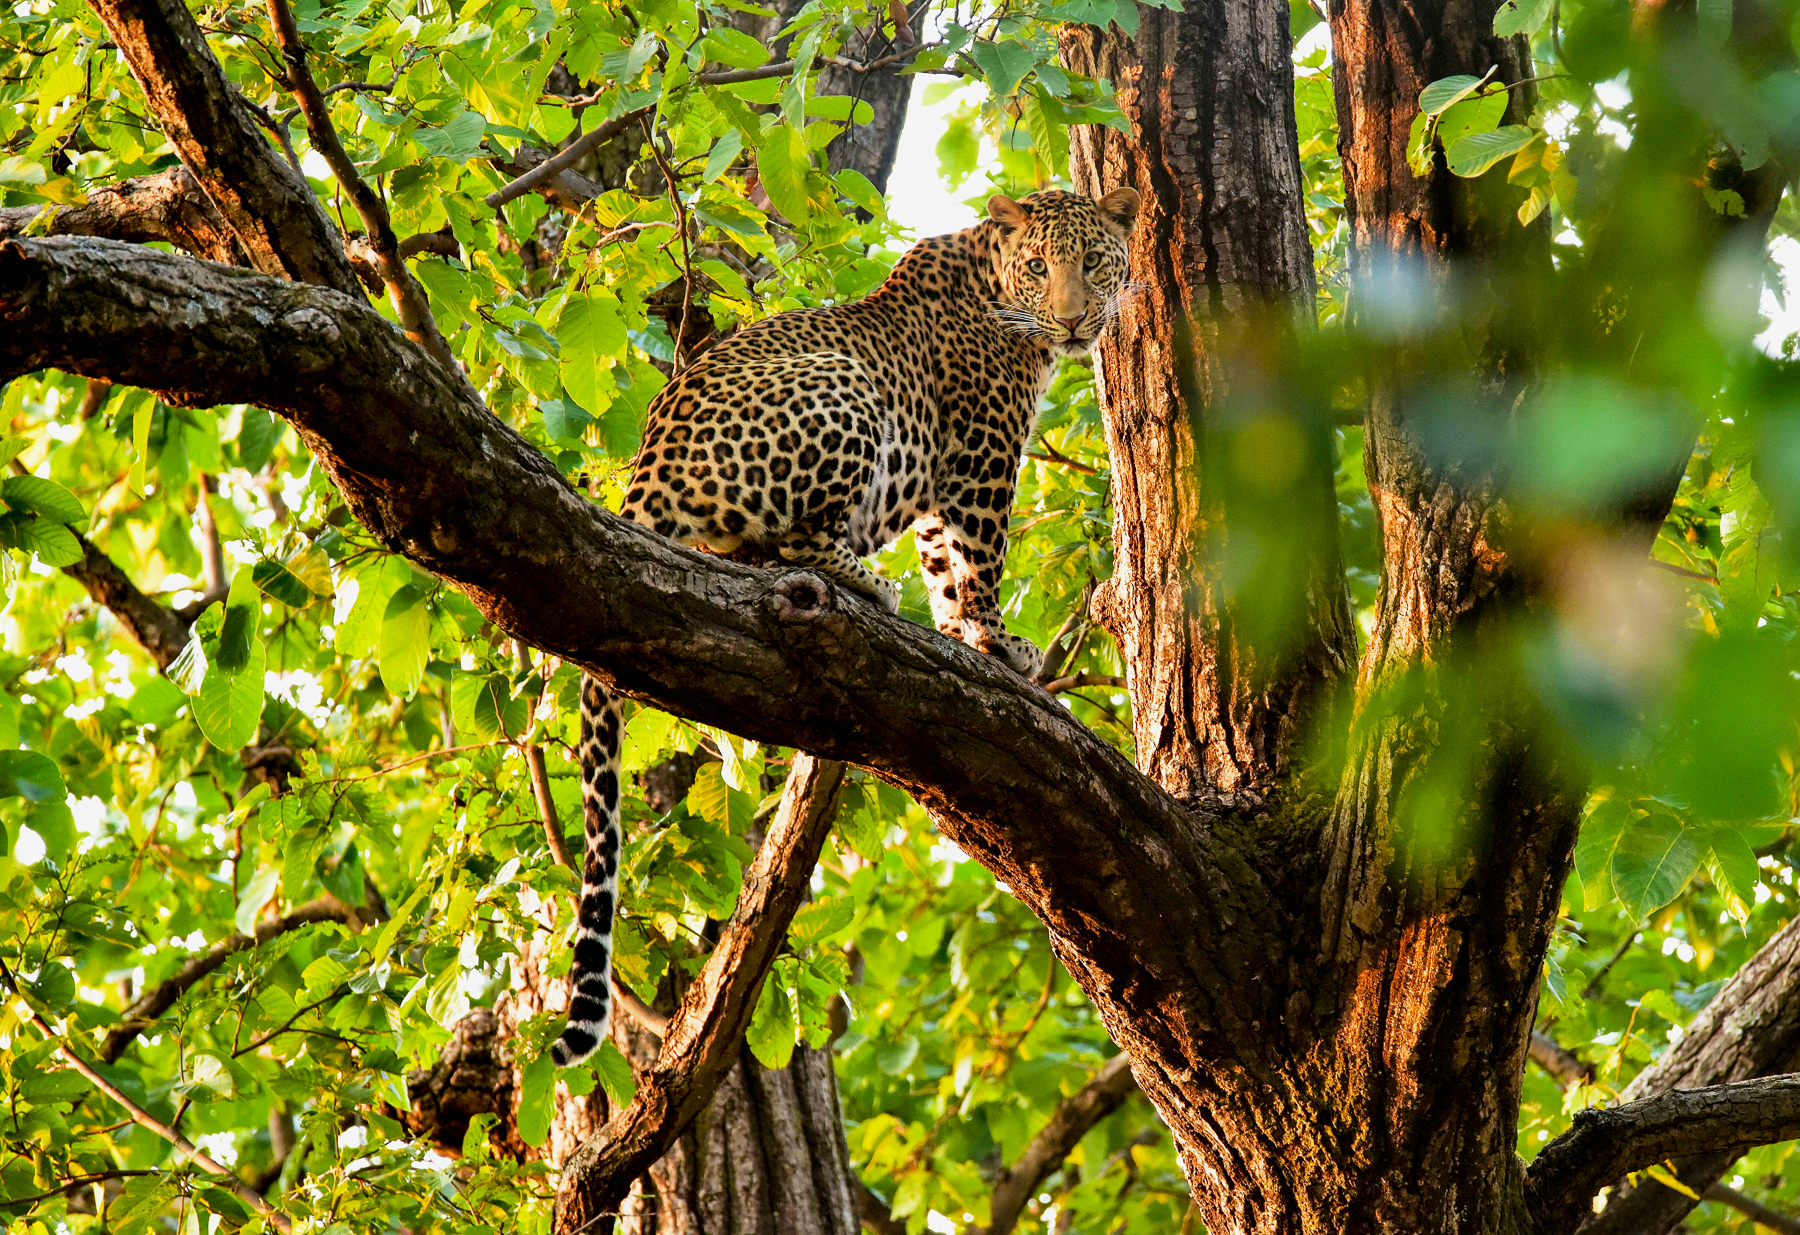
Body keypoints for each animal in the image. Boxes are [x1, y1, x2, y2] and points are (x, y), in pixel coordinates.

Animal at [552, 186, 1141, 1066]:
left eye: (1095, 262)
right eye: (1040, 267)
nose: (1073, 321)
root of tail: (650, 465)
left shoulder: (939, 487)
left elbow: (946, 570)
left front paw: (962, 636)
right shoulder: (981, 457)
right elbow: (982, 560)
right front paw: (997, 641)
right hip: (844, 384)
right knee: (798, 543)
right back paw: (868, 582)